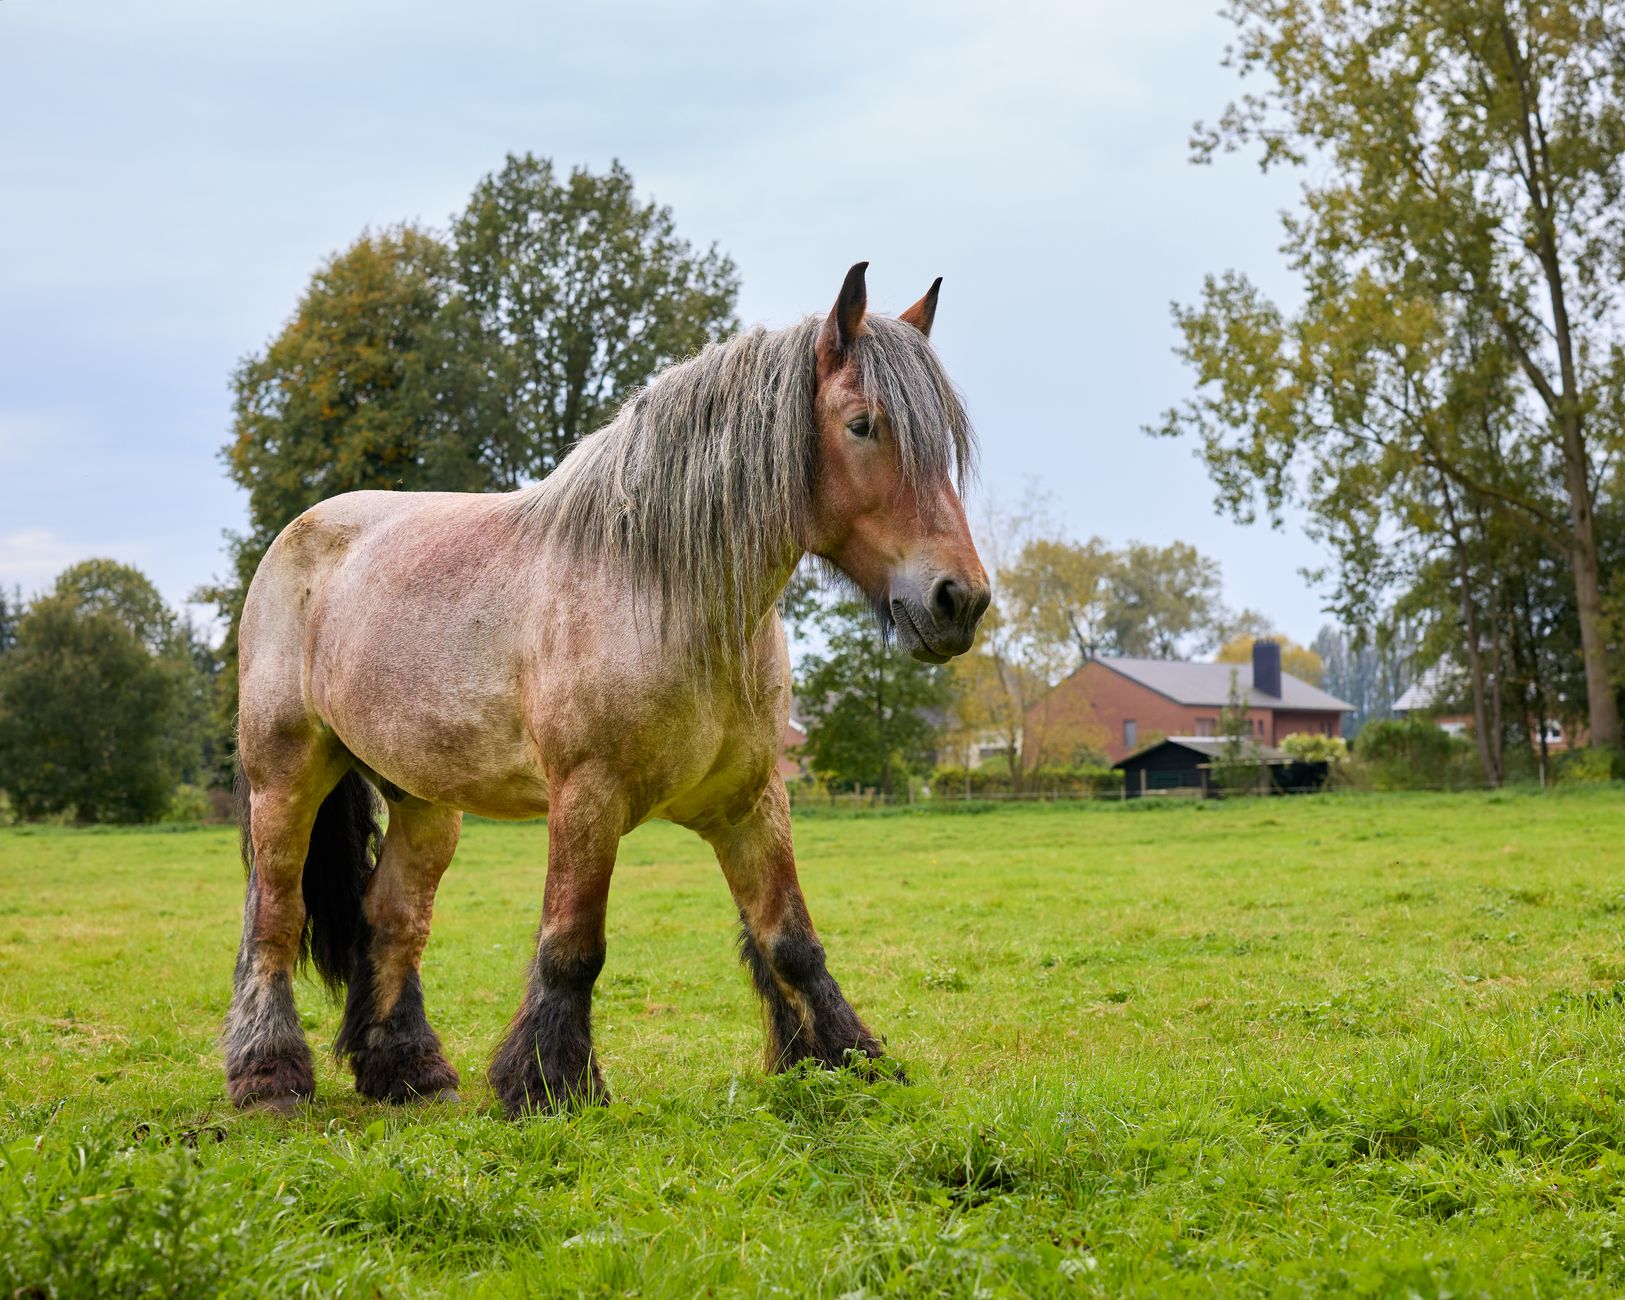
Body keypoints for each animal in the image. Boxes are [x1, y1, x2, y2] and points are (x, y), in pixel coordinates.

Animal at [223, 263, 991, 1116]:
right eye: (862, 425)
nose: (957, 600)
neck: (660, 592)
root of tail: (299, 534)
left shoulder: (751, 800)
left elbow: (789, 939)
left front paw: (848, 1063)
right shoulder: (587, 797)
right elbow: (572, 945)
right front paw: (548, 1084)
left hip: (424, 801)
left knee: (392, 918)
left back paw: (409, 1072)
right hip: (287, 777)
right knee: (274, 917)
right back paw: (267, 1076)